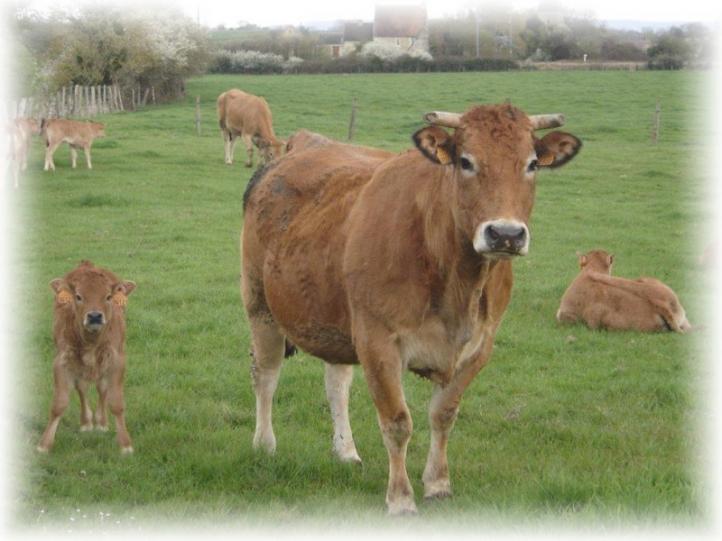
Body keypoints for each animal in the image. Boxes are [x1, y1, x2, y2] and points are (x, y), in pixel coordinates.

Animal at [37, 260, 136, 454]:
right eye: (78, 296)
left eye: (108, 296)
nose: (95, 316)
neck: (92, 342)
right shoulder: (61, 361)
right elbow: (59, 404)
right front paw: (44, 445)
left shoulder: (117, 360)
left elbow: (116, 403)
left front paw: (125, 445)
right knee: (82, 388)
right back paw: (86, 422)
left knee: (102, 388)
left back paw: (102, 423)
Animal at [241, 103, 582, 514]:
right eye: (465, 161)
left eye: (531, 164)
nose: (505, 234)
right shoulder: (378, 342)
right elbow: (397, 423)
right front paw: (401, 498)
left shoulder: (479, 346)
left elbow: (443, 415)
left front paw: (438, 483)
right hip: (260, 304)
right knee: (266, 373)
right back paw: (264, 445)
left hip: (334, 317)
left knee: (336, 383)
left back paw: (346, 451)